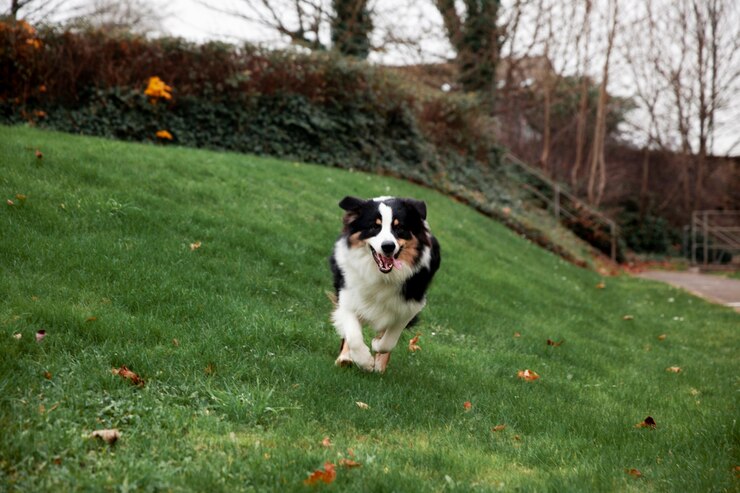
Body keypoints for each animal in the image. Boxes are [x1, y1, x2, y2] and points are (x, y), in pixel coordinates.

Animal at [328, 194, 440, 370]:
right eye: (375, 227)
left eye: (399, 228)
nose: (388, 246)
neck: (382, 275)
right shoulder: (347, 294)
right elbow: (353, 335)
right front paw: (364, 360)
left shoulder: (410, 305)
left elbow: (389, 340)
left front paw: (376, 346)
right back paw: (345, 358)